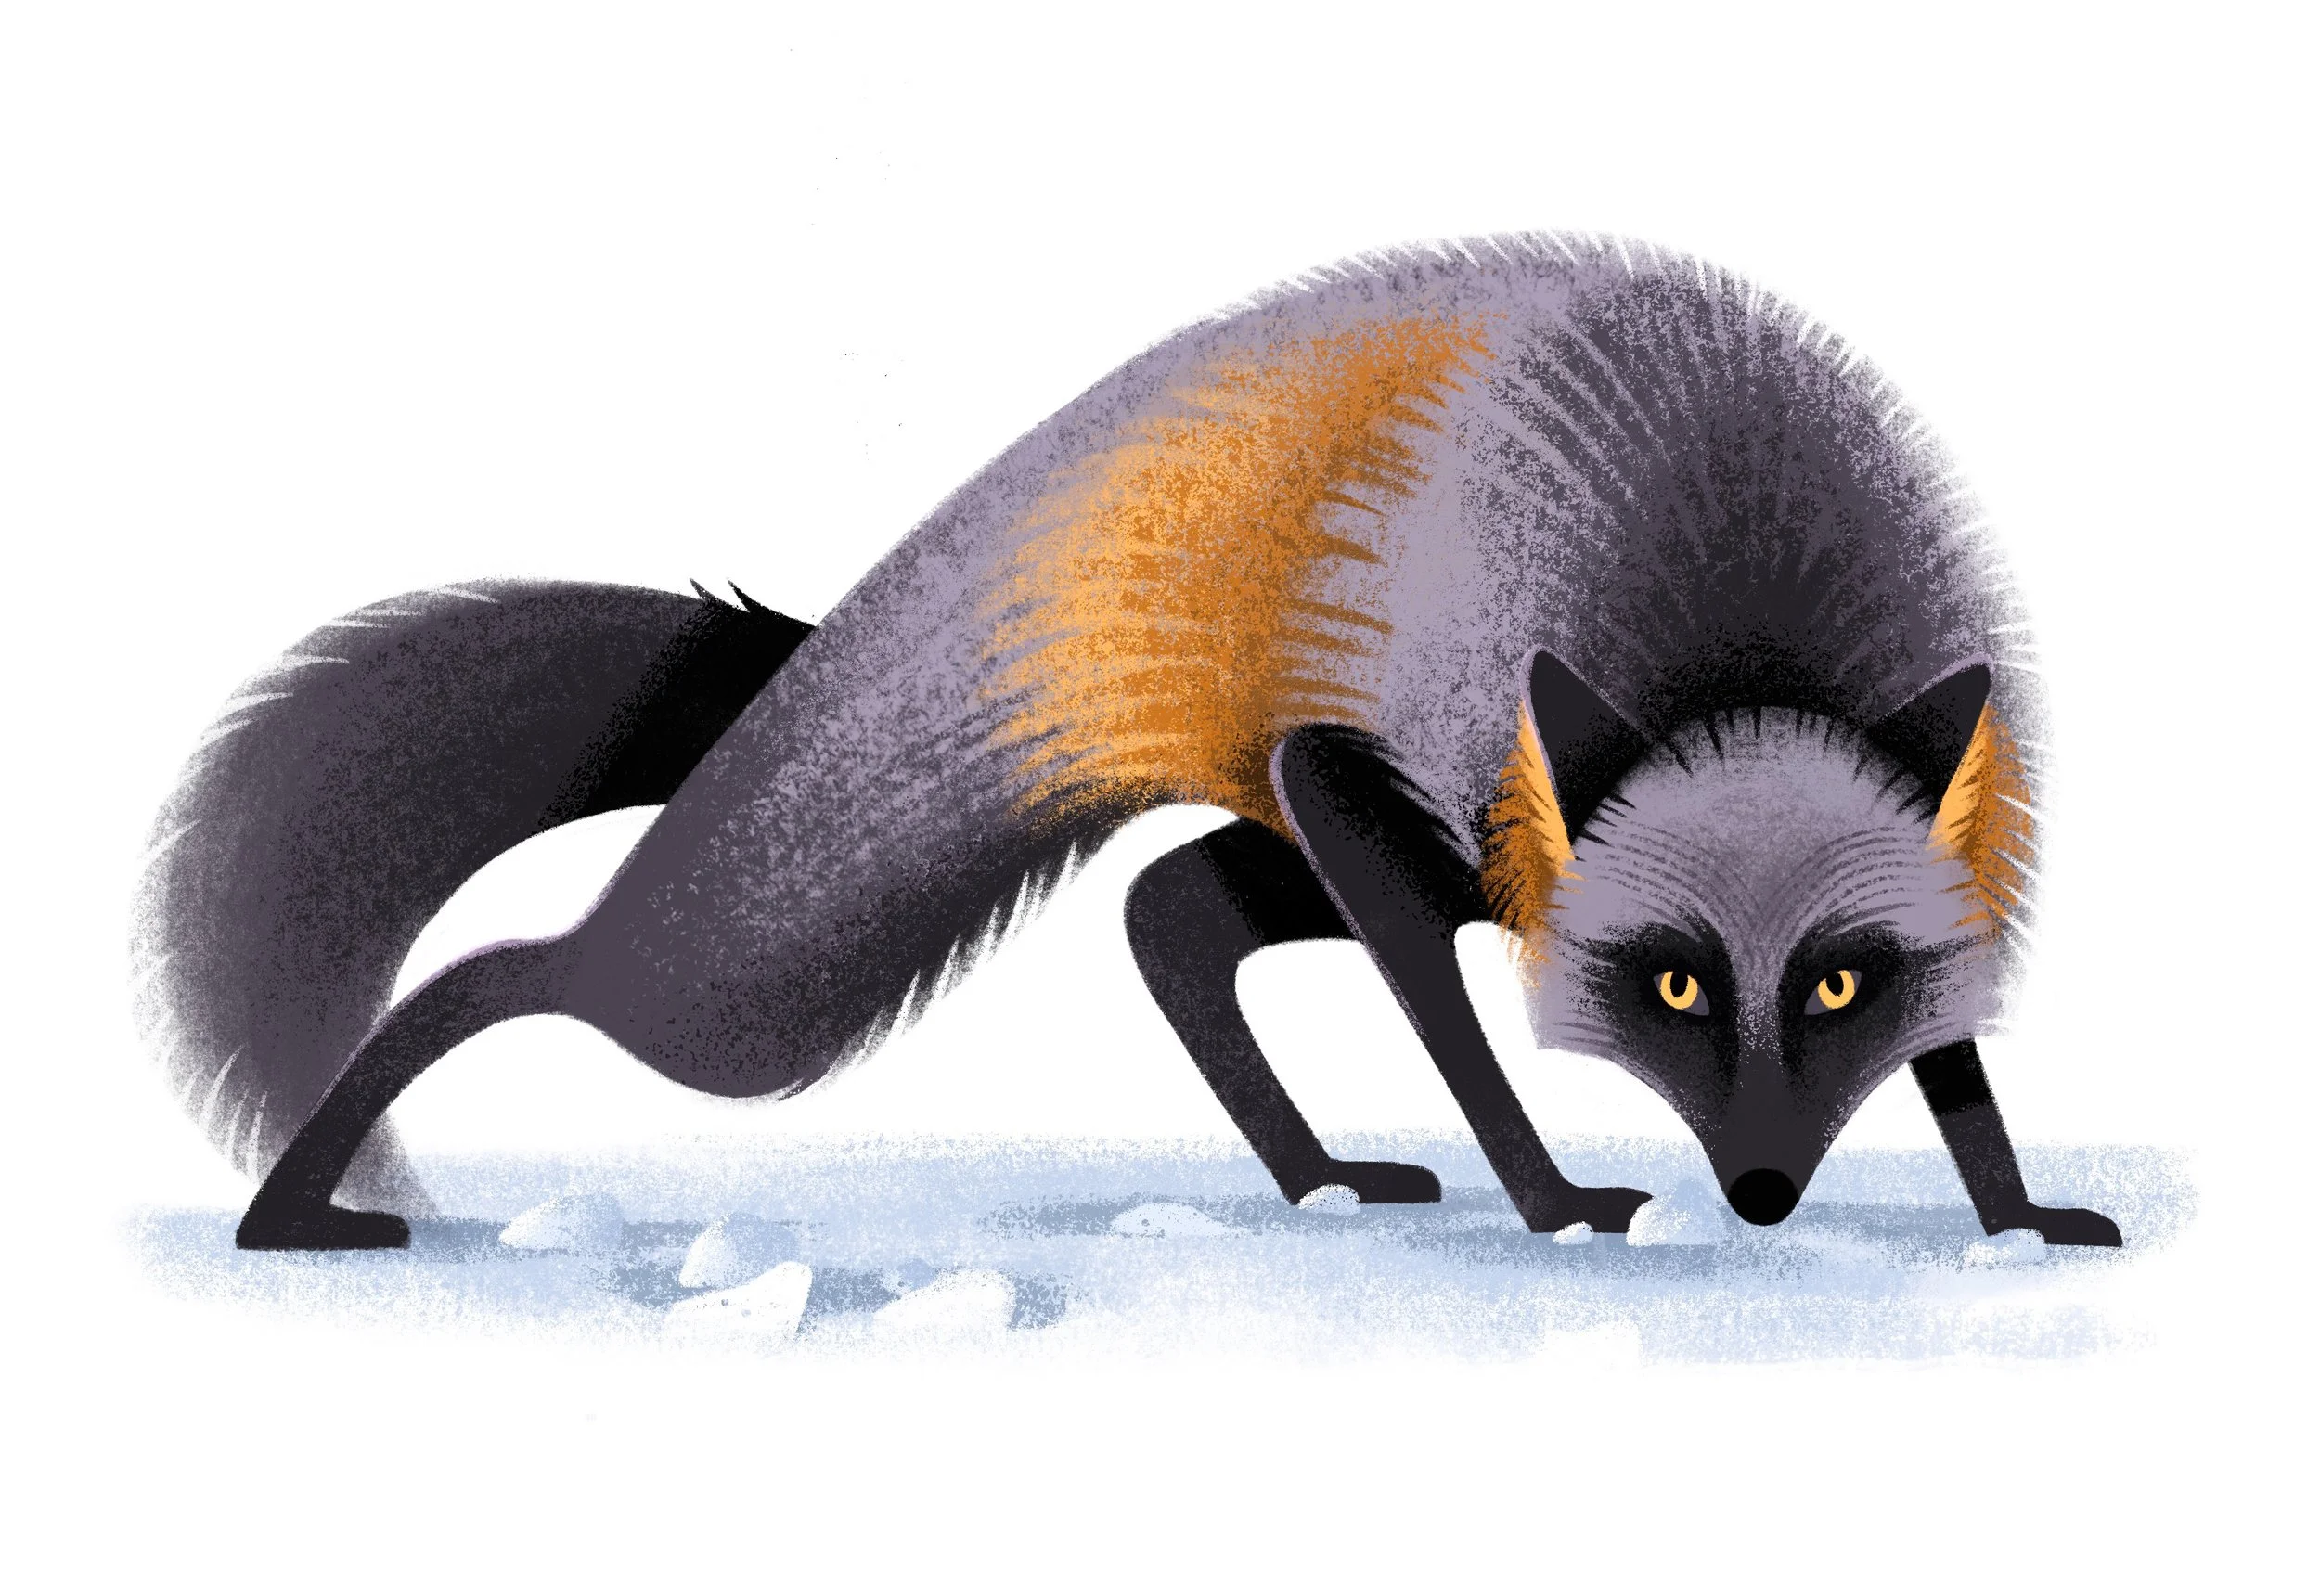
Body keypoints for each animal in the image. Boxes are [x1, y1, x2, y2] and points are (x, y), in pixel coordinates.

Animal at [131, 233, 2122, 1252]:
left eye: (1845, 983)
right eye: (1679, 985)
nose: (1768, 1192)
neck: (1736, 634)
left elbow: (1958, 1060)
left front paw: (2014, 1203)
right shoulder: (1387, 773)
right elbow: (1456, 1033)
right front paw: (1552, 1194)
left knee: (1171, 913)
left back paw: (1313, 1179)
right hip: (769, 972)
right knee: (541, 973)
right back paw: (298, 1204)